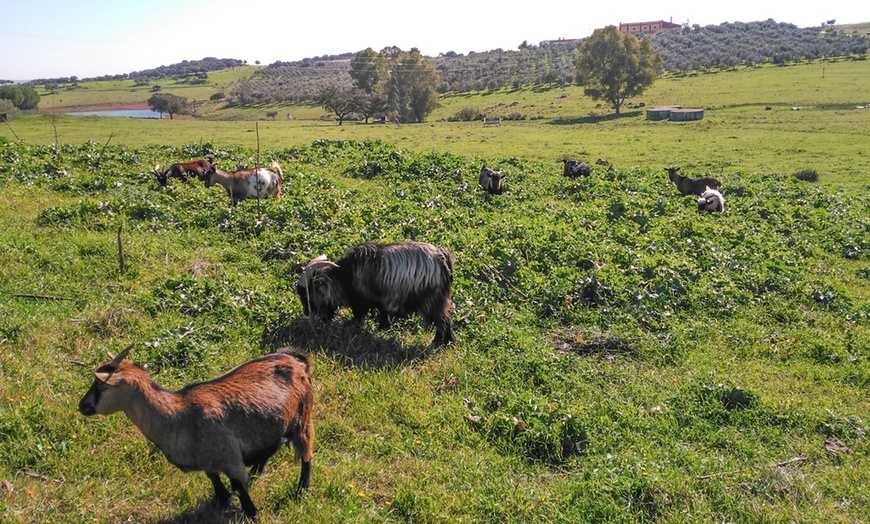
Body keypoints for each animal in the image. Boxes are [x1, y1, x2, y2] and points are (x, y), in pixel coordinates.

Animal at [78, 344, 316, 520]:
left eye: (102, 387)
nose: (82, 406)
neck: (179, 415)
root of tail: (297, 360)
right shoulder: (210, 464)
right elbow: (219, 491)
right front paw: (220, 502)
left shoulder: (231, 460)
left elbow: (246, 501)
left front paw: (250, 512)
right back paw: (258, 473)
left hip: (303, 417)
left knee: (306, 453)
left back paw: (302, 490)